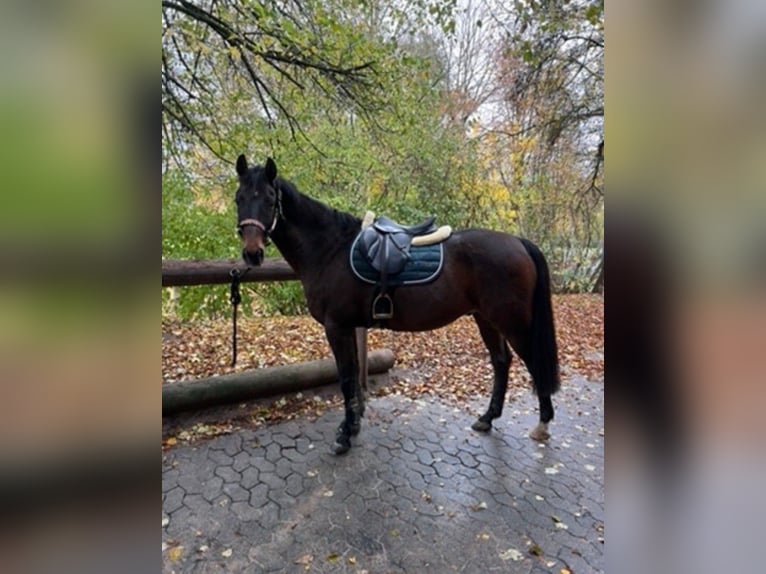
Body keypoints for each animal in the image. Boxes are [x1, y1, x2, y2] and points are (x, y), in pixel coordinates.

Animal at [233, 154, 560, 454]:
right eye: (239, 198)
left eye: (270, 199)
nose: (252, 253)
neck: (330, 249)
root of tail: (518, 242)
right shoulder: (348, 327)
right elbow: (353, 377)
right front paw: (353, 425)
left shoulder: (337, 327)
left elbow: (346, 378)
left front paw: (344, 436)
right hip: (486, 319)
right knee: (501, 361)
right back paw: (487, 418)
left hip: (512, 321)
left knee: (532, 362)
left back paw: (542, 424)